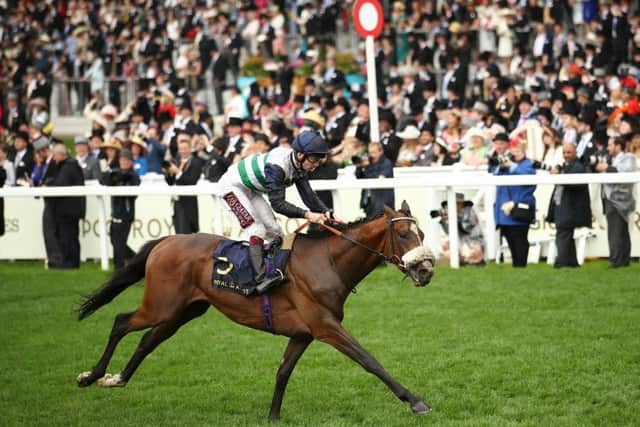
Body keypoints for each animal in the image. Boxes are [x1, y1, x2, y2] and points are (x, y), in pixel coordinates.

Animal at [75, 201, 436, 422]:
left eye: (422, 233)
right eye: (403, 234)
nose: (426, 271)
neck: (327, 262)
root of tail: (166, 241)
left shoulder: (303, 333)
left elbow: (283, 371)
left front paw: (273, 416)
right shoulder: (325, 326)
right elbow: (369, 360)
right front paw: (414, 400)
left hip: (183, 311)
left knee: (147, 341)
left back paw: (117, 379)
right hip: (160, 305)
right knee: (121, 322)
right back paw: (92, 375)